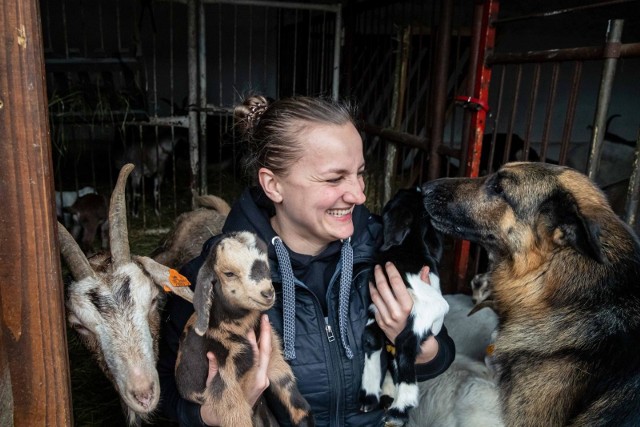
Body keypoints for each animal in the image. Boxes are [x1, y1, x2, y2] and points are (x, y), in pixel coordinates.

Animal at [175, 234, 316, 427]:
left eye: (267, 265)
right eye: (229, 274)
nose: (267, 293)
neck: (239, 325)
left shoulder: (272, 353)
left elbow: (291, 392)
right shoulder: (225, 377)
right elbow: (237, 417)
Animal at [360, 187, 450, 427]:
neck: (407, 251)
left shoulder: (434, 304)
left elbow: (405, 343)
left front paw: (403, 405)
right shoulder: (375, 306)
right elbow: (371, 338)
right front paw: (369, 393)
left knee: (402, 347)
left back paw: (398, 408)